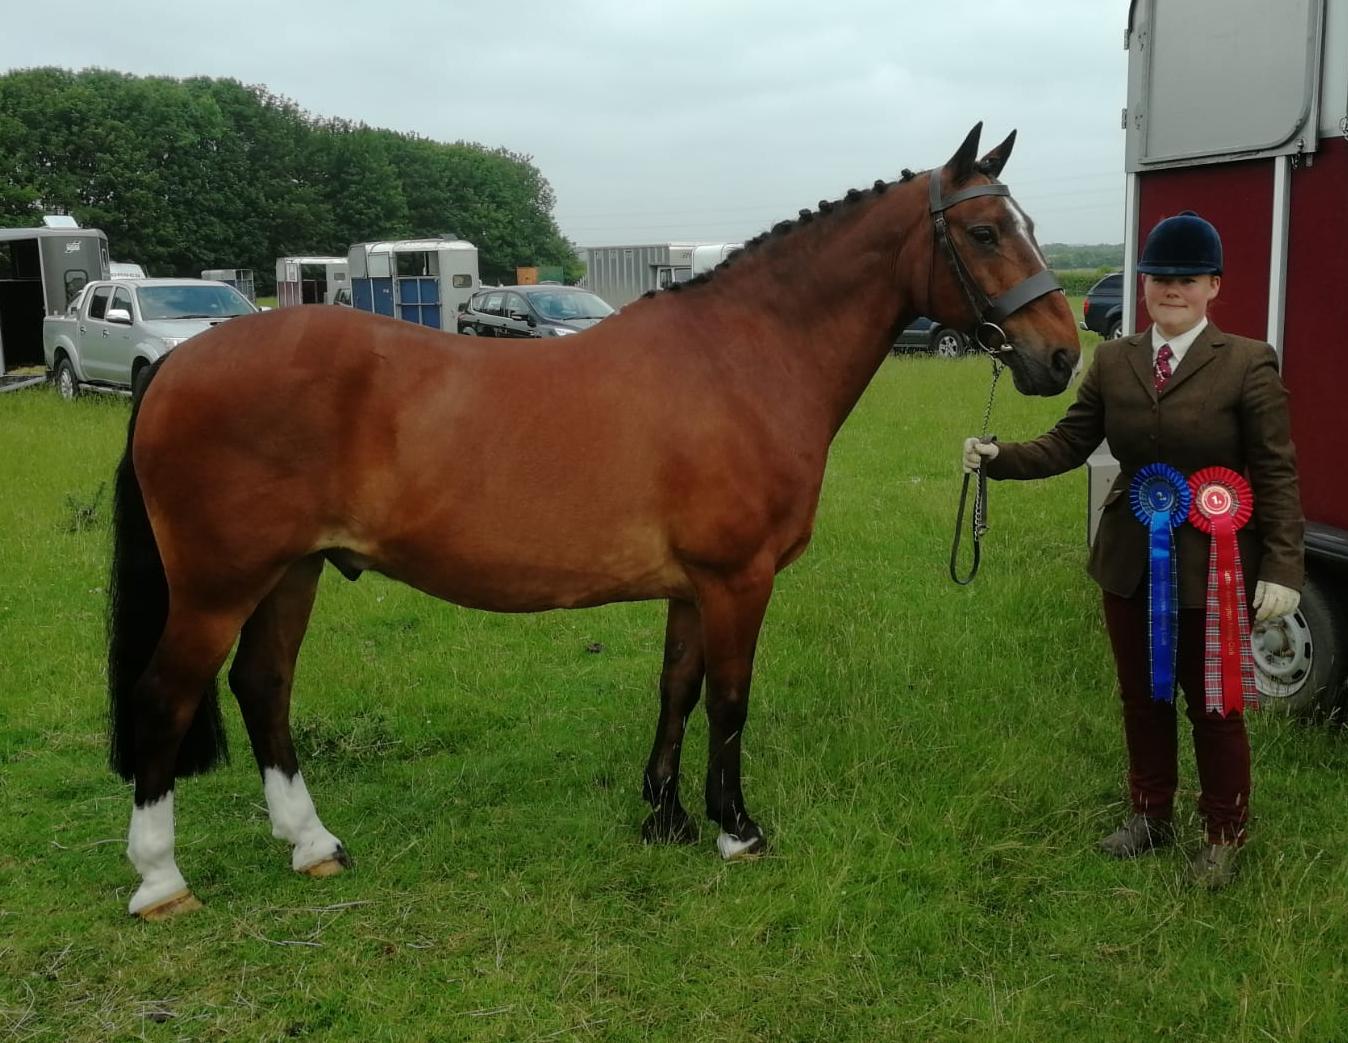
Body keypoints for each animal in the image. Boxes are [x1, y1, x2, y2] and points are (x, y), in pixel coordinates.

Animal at [107, 123, 1080, 919]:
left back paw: (314, 846)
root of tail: (178, 363)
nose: (1063, 355)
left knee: (262, 685)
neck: (742, 359)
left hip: (293, 571)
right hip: (218, 584)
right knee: (166, 694)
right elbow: (730, 699)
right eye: (985, 232)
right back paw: (161, 881)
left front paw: (667, 816)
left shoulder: (693, 586)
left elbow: (677, 688)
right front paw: (736, 828)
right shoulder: (738, 579)